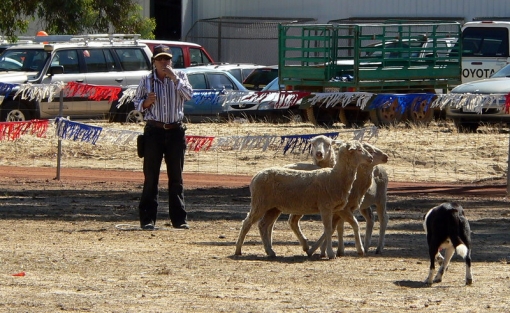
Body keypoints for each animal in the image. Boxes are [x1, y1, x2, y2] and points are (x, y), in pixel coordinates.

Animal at [233, 140, 372, 258]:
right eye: (359, 149)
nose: (370, 158)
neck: (335, 177)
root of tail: (255, 176)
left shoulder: (337, 209)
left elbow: (336, 228)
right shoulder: (325, 206)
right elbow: (328, 229)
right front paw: (330, 253)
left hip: (273, 207)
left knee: (263, 225)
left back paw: (270, 251)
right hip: (259, 203)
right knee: (247, 223)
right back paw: (238, 250)